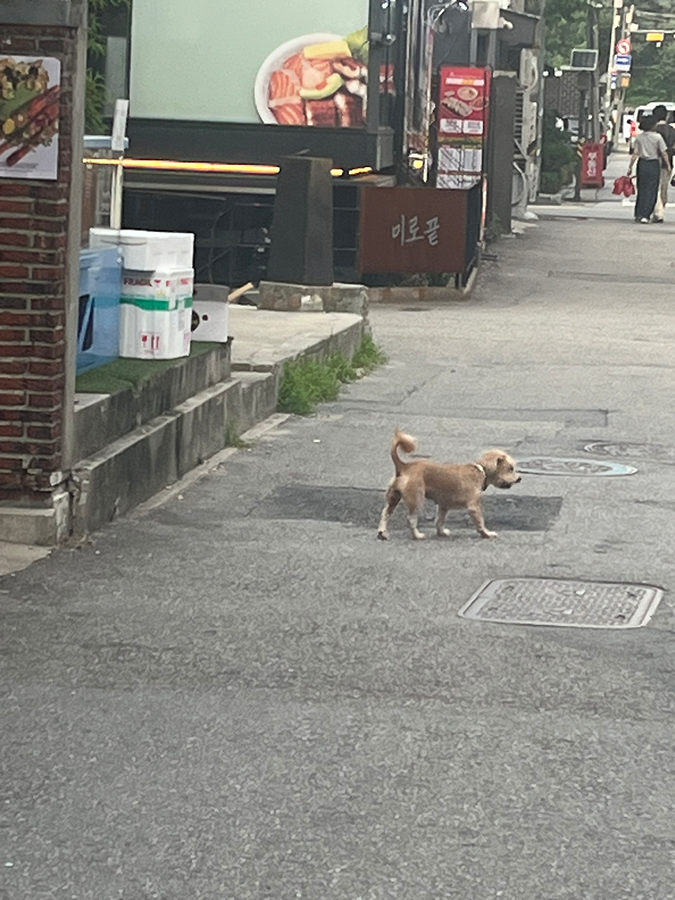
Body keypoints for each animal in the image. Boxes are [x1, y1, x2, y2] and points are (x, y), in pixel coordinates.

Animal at [378, 430, 520, 540]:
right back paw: (417, 535)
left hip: (393, 497)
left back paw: (382, 533)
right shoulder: (474, 506)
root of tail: (404, 466)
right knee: (410, 520)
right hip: (416, 498)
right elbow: (480, 521)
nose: (520, 478)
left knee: (385, 513)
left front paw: (441, 532)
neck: (481, 471)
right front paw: (486, 534)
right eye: (510, 468)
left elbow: (439, 520)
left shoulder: (443, 505)